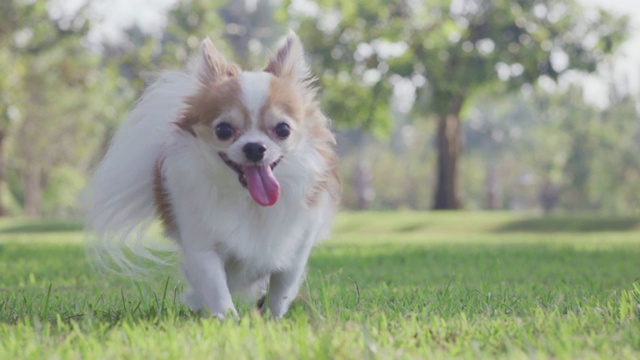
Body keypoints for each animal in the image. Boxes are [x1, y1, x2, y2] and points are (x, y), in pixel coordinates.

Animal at [89, 31, 344, 318]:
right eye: (223, 130)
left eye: (283, 129)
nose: (254, 147)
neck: (248, 201)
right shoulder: (201, 244)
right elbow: (216, 287)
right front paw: (227, 320)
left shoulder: (297, 246)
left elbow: (283, 288)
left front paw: (271, 319)